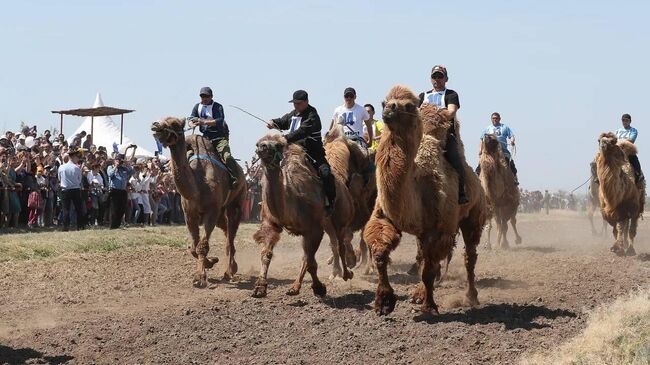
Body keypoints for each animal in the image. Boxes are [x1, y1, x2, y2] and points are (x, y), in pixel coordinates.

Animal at [151, 118, 244, 286]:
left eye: (174, 123)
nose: (155, 125)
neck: (198, 185)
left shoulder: (211, 212)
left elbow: (202, 246)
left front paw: (200, 278)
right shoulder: (189, 214)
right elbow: (194, 247)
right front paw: (210, 262)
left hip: (236, 203)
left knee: (231, 234)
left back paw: (231, 271)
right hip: (221, 214)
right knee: (227, 232)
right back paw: (228, 269)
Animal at [249, 132, 352, 298]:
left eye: (278, 145)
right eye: (258, 143)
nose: (263, 147)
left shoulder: (314, 229)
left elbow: (310, 261)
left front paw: (319, 288)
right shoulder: (271, 223)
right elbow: (266, 254)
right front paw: (260, 288)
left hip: (340, 219)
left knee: (341, 244)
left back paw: (346, 274)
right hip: (327, 224)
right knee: (328, 246)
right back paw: (295, 287)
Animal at [362, 86, 484, 314]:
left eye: (409, 106)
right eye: (385, 102)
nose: (389, 109)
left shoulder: (439, 230)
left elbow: (429, 270)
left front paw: (429, 306)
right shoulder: (385, 217)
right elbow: (381, 253)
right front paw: (384, 302)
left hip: (474, 215)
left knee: (469, 256)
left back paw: (470, 297)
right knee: (423, 257)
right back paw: (419, 294)